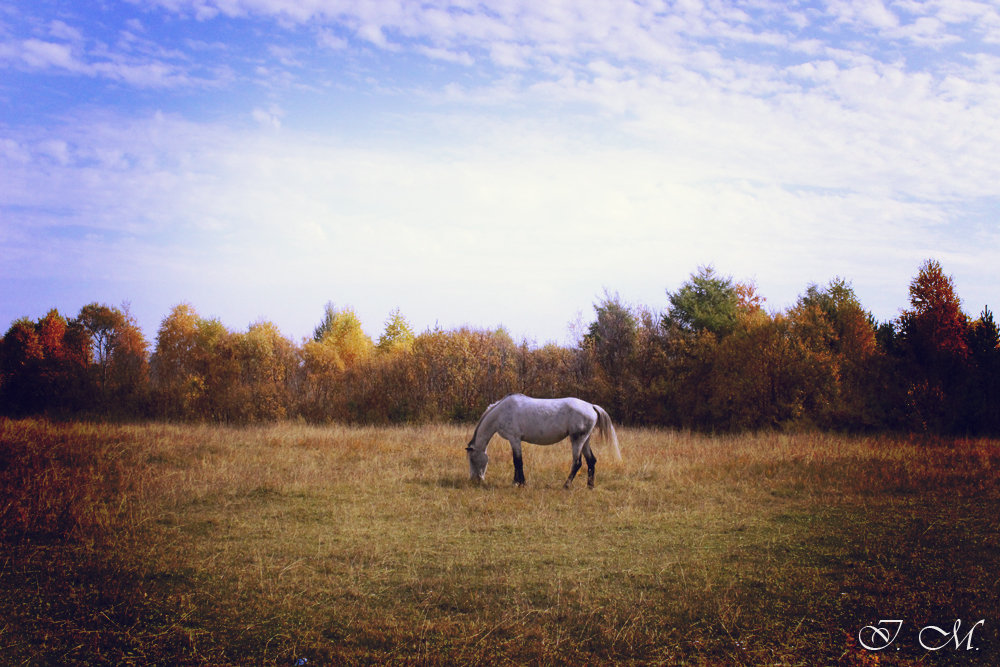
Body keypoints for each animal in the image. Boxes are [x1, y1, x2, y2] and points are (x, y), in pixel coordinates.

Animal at [466, 394, 620, 488]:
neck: (501, 412)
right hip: (585, 440)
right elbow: (516, 462)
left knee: (577, 463)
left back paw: (566, 485)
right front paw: (516, 482)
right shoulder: (514, 441)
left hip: (577, 440)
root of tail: (591, 406)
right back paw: (590, 486)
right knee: (591, 461)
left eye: (472, 459)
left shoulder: (514, 439)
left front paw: (521, 483)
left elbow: (517, 461)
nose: (475, 479)